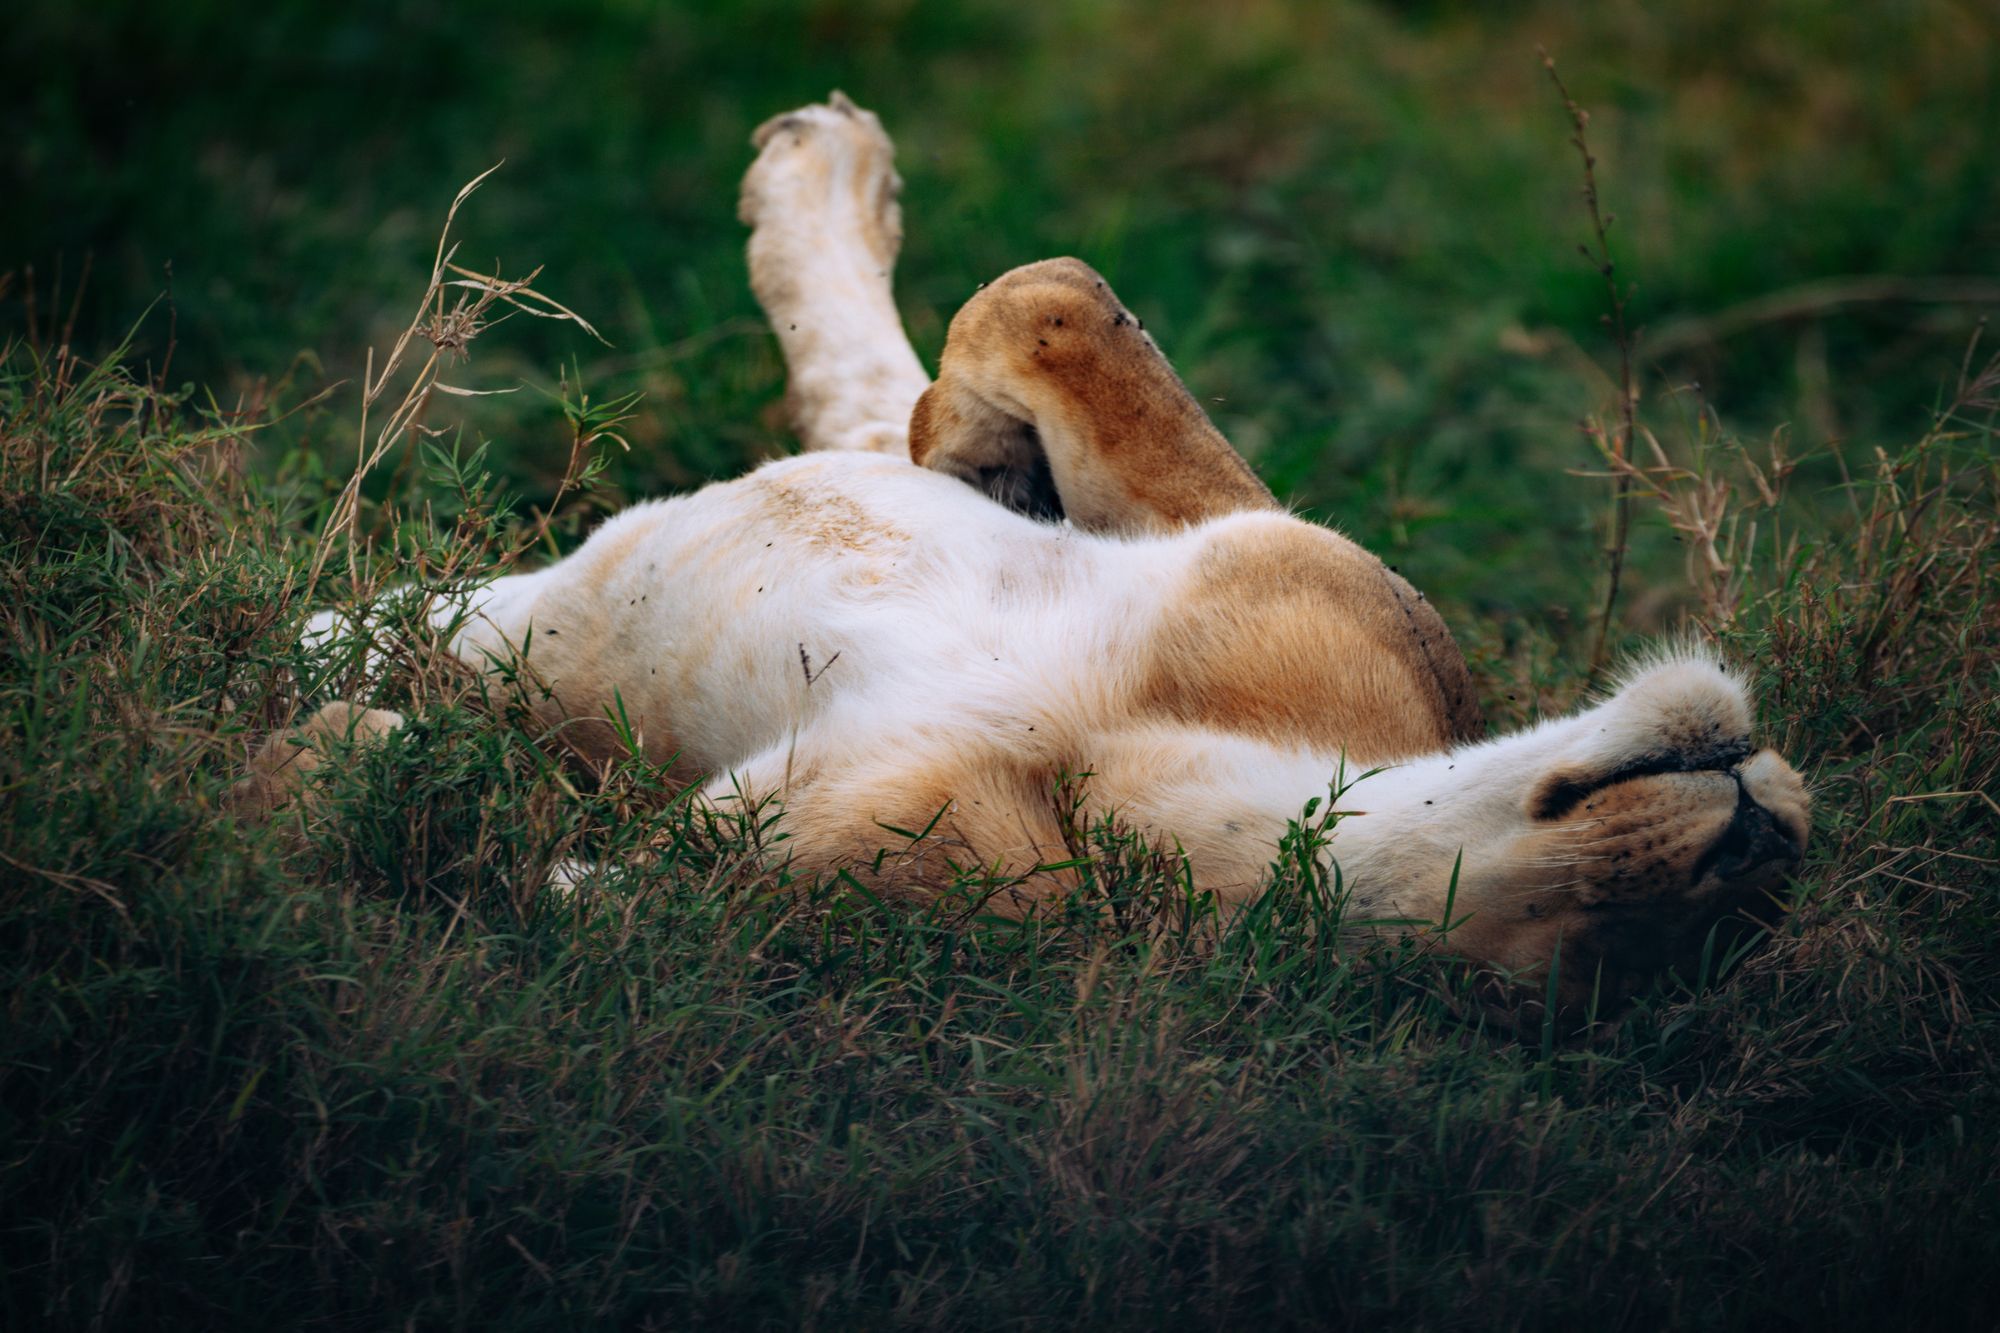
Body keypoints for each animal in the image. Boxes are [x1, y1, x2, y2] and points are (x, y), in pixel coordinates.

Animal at [253, 94, 1809, 1015]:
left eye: (1687, 920)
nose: (1770, 824)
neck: (1145, 771)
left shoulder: (764, 874)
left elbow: (522, 868)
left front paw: (357, 748)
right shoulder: (1260, 553)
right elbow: (1053, 301)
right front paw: (979, 441)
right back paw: (827, 168)